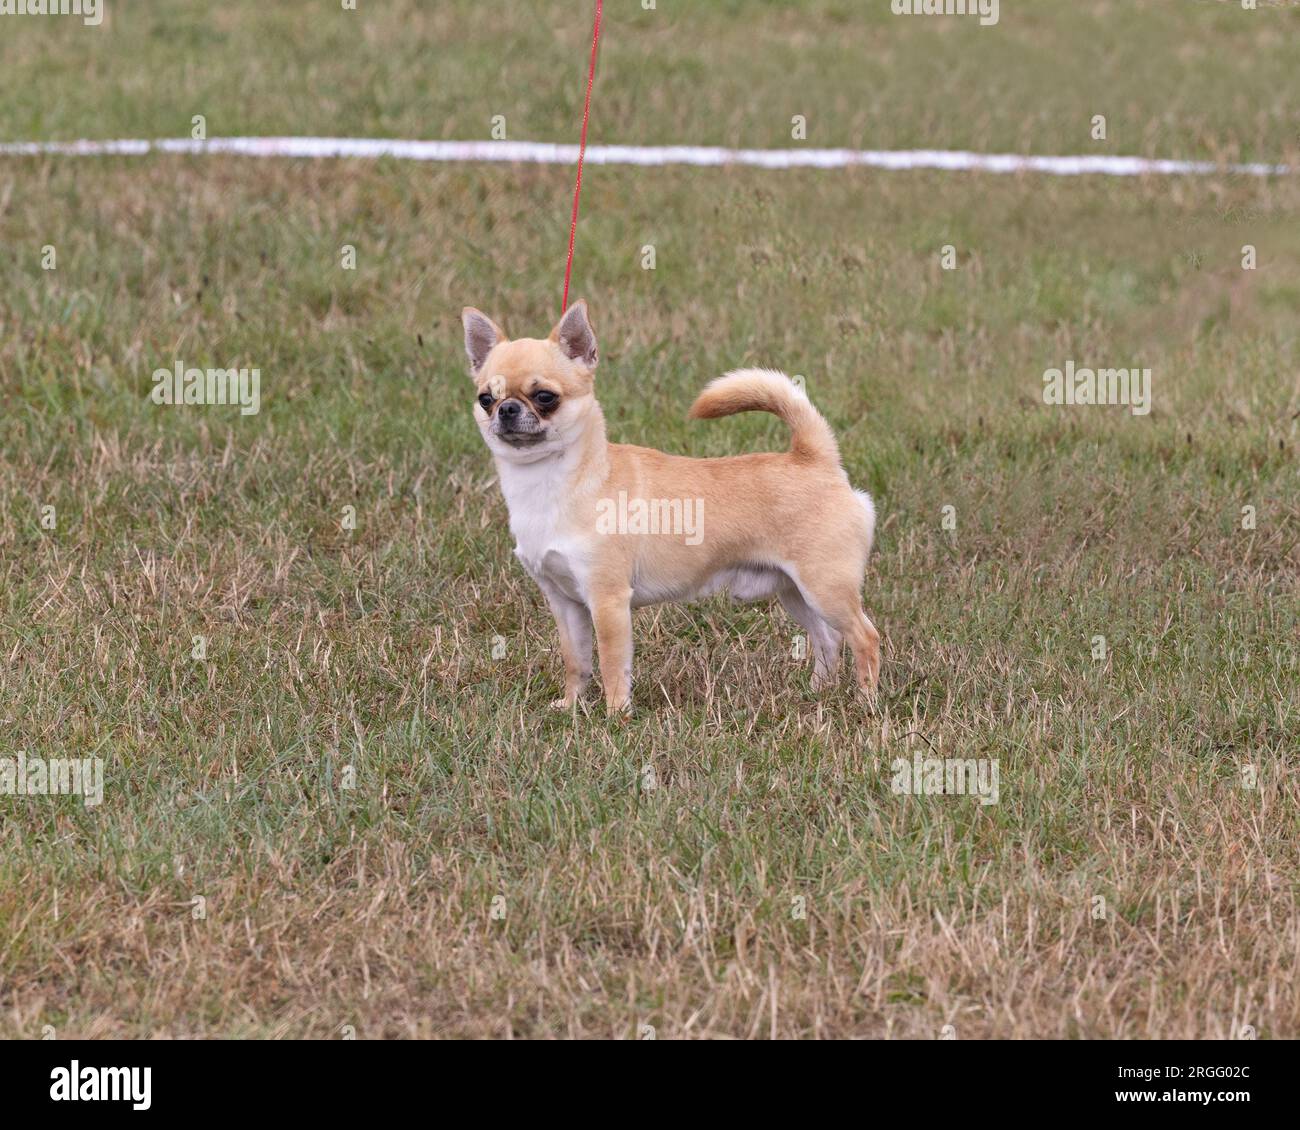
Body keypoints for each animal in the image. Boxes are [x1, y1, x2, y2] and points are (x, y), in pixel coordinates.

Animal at [462, 295, 878, 707]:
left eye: (545, 397)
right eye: (485, 399)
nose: (507, 409)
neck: (552, 481)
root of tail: (813, 457)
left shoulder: (607, 600)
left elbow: (612, 666)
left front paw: (615, 715)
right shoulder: (564, 603)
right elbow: (576, 661)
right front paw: (571, 706)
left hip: (824, 588)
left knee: (864, 636)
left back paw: (866, 701)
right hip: (793, 591)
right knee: (828, 638)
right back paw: (818, 692)